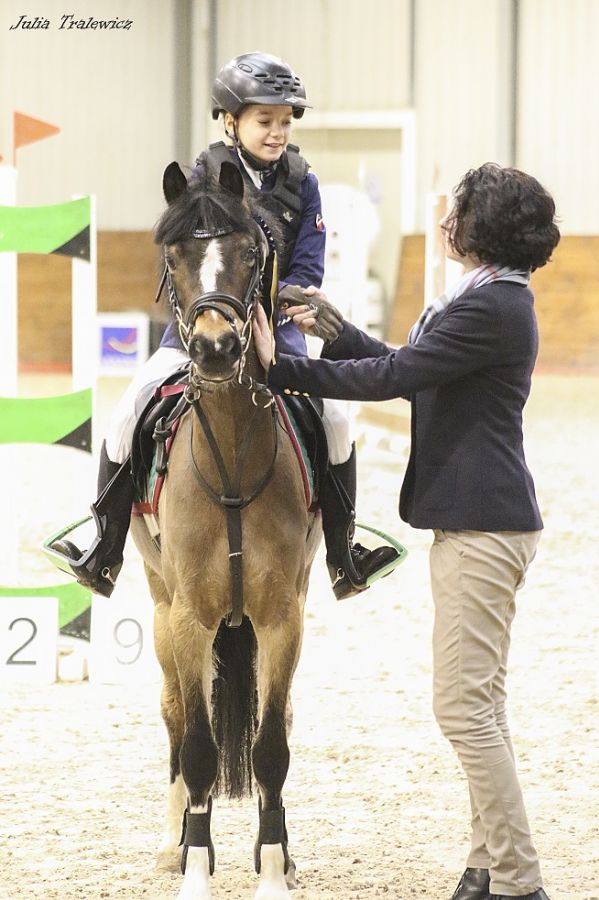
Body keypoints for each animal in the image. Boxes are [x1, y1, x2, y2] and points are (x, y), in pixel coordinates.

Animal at [130, 160, 322, 900]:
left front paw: (271, 869)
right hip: (161, 611)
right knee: (176, 716)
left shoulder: (280, 617)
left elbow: (271, 749)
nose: (215, 347)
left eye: (249, 252)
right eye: (175, 255)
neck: (234, 453)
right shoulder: (190, 618)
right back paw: (173, 841)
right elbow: (200, 748)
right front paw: (195, 870)